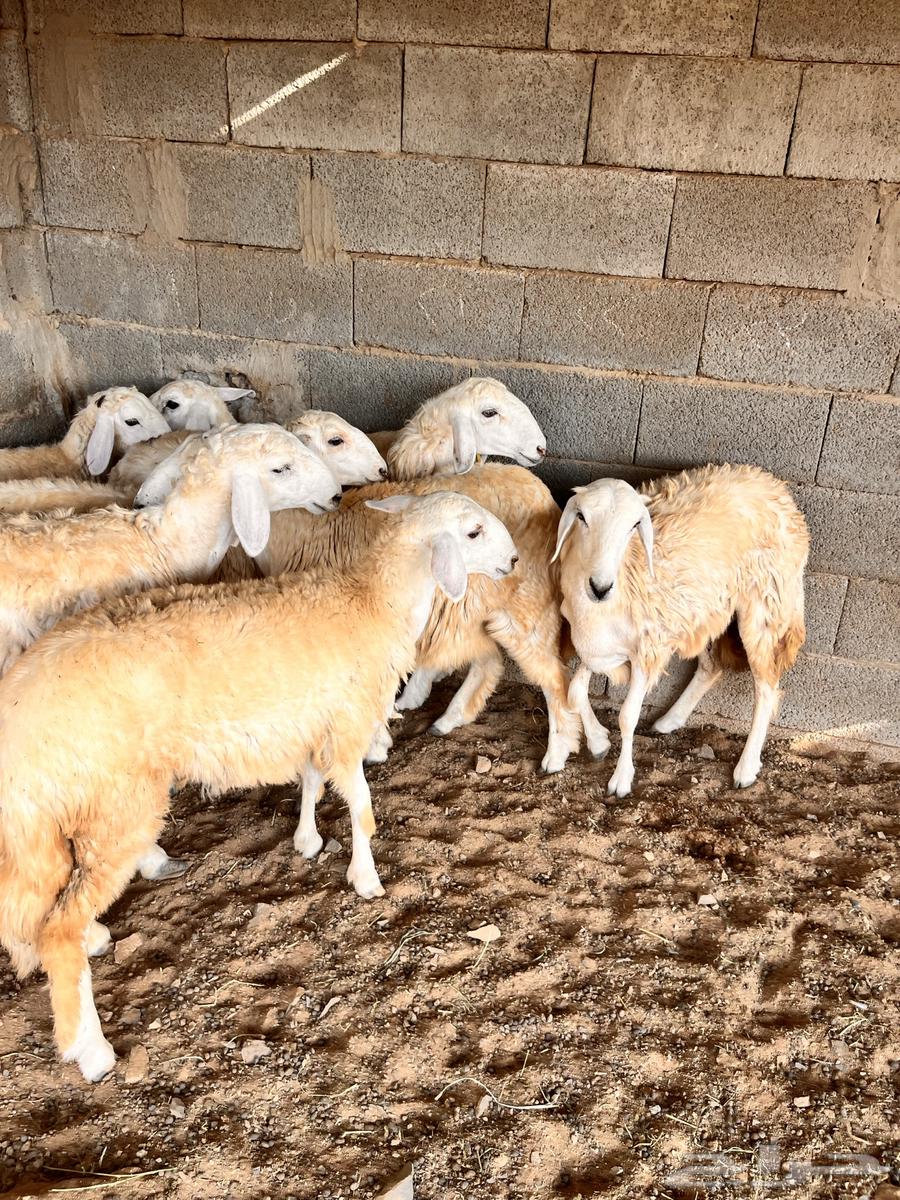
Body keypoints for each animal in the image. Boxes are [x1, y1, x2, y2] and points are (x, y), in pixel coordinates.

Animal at [0, 491, 518, 1081]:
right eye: (473, 532)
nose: (514, 560)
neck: (372, 601)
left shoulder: (314, 723)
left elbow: (313, 782)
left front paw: (308, 841)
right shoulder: (349, 722)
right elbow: (363, 809)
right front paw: (365, 878)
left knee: (41, 909)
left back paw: (95, 940)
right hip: (112, 798)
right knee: (59, 927)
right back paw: (91, 1050)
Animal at [212, 463, 583, 776]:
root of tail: (543, 497)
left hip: (519, 609)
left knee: (552, 677)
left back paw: (556, 753)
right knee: (488, 660)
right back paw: (447, 715)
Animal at [552, 464, 809, 797]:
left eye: (634, 525)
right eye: (581, 516)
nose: (600, 587)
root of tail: (777, 487)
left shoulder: (648, 648)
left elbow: (627, 717)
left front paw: (621, 778)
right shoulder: (596, 648)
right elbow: (575, 692)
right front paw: (598, 742)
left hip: (763, 607)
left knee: (766, 688)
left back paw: (746, 767)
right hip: (702, 610)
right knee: (712, 667)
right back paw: (670, 719)